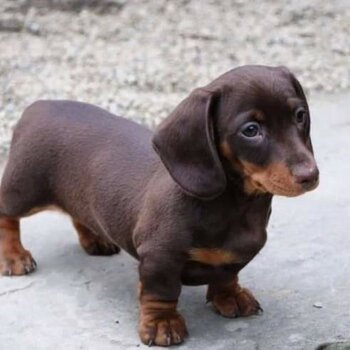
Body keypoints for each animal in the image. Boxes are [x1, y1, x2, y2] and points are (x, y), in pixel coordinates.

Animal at [0, 66, 318, 348]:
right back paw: (14, 256)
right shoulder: (159, 256)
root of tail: (39, 106)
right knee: (6, 214)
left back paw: (95, 239)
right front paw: (162, 323)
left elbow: (228, 274)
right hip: (25, 189)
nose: (310, 175)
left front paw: (230, 296)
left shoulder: (237, 254)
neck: (235, 205)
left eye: (300, 115)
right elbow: (161, 293)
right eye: (251, 130)